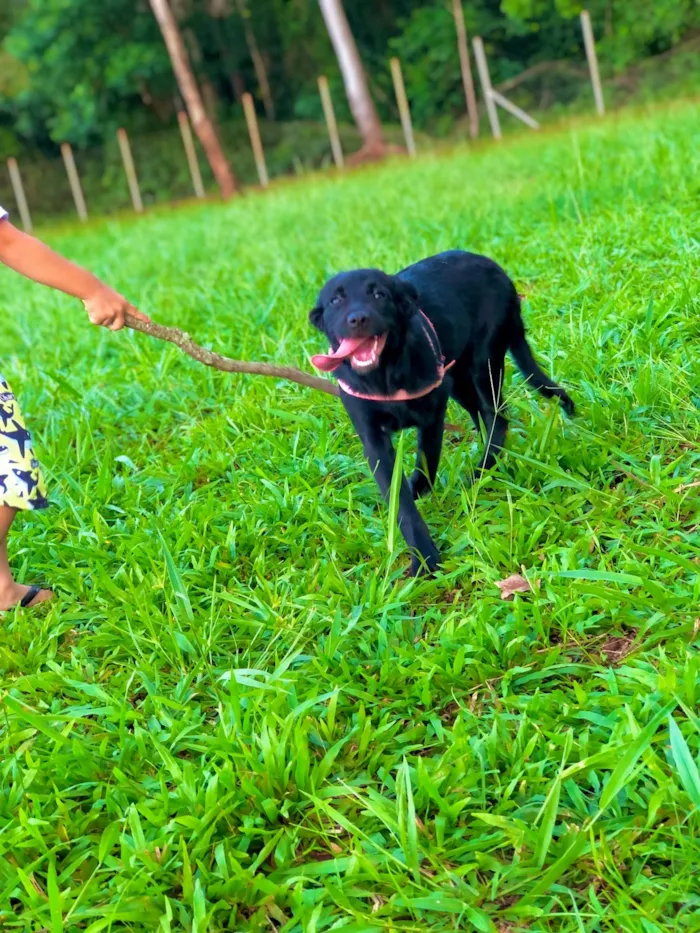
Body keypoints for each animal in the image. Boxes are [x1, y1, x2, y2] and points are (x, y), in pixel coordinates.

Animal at [312, 255, 576, 576]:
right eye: (336, 300)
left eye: (379, 295)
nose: (358, 319)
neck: (384, 377)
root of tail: (496, 268)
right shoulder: (374, 440)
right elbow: (400, 501)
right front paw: (423, 554)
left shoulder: (432, 412)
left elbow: (427, 459)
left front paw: (426, 552)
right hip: (459, 377)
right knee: (483, 415)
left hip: (482, 363)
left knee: (497, 416)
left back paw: (483, 470)